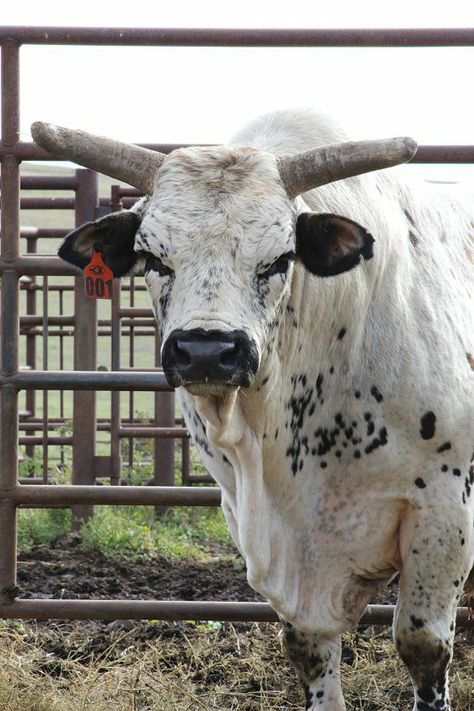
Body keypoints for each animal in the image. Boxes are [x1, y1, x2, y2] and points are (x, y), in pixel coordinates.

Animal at [31, 107, 472, 711]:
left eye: (280, 258)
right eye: (152, 256)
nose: (206, 350)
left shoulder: (443, 512)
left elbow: (423, 646)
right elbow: (310, 650)